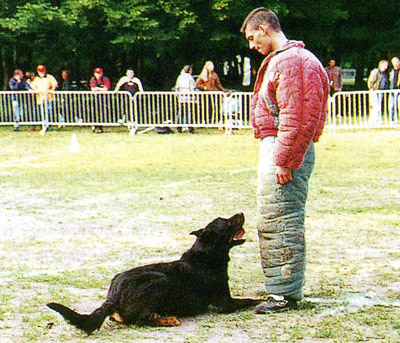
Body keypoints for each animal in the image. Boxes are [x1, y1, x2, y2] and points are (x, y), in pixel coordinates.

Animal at [47, 214, 262, 334]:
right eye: (227, 223)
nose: (241, 212)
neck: (206, 254)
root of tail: (112, 297)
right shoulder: (225, 303)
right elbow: (251, 300)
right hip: (161, 281)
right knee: (141, 321)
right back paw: (168, 319)